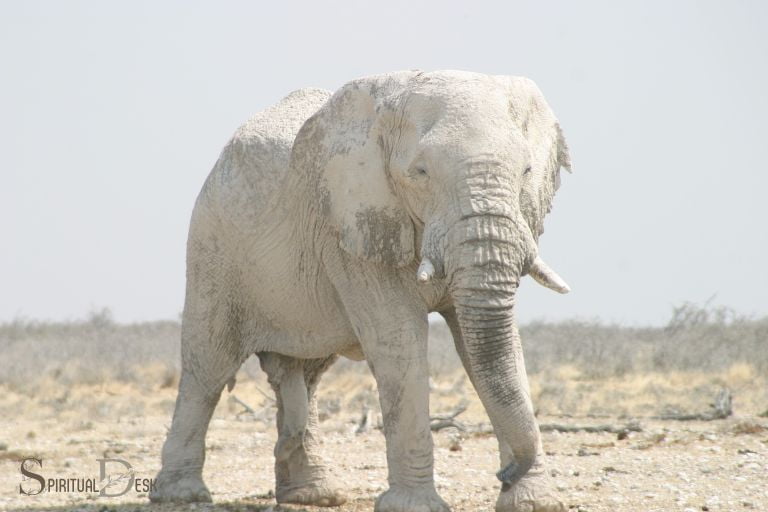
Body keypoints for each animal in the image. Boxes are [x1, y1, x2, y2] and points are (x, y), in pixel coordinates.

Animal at [148, 69, 568, 512]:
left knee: (304, 373)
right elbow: (399, 341)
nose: (504, 474)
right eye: (420, 172)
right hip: (213, 248)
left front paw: (535, 502)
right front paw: (413, 507)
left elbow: (492, 348)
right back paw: (182, 494)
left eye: (527, 170)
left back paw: (313, 492)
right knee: (208, 366)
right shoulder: (353, 226)